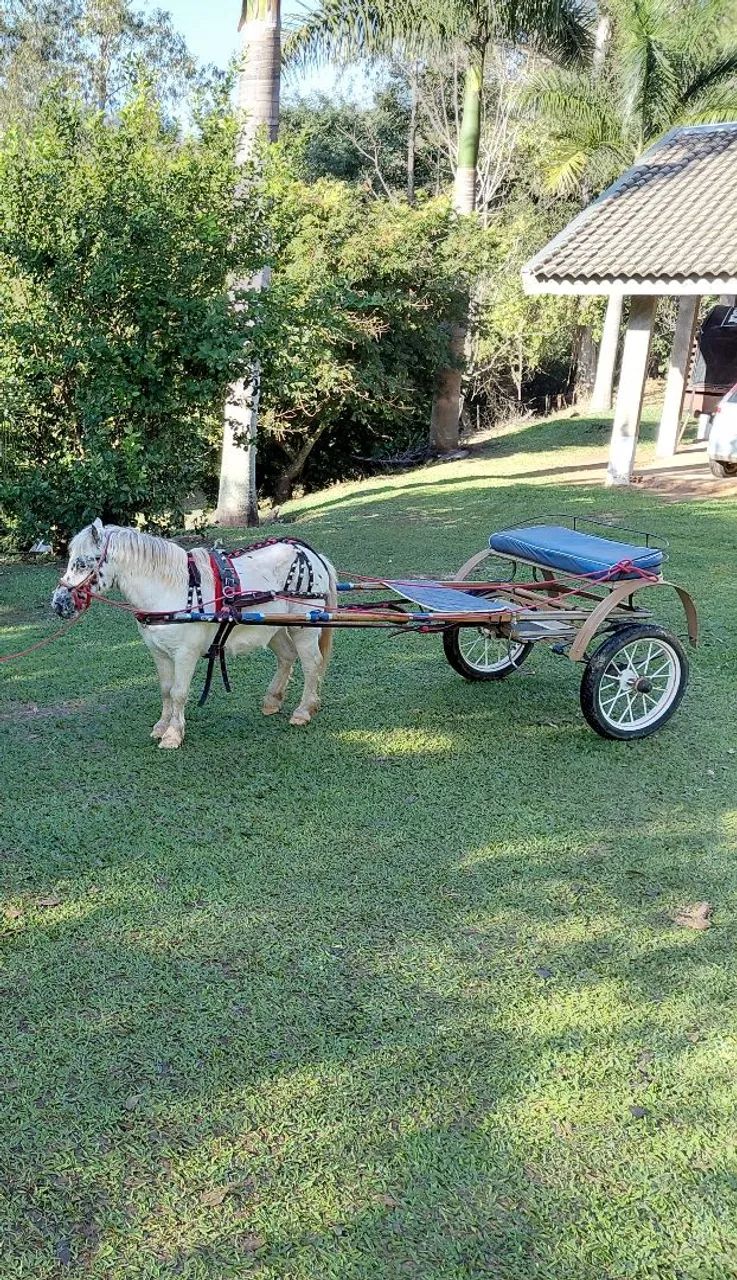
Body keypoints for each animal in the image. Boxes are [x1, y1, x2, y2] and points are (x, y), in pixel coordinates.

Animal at [52, 519, 337, 749]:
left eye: (81, 563)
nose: (58, 602)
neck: (170, 588)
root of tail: (313, 555)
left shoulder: (184, 653)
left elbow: (179, 692)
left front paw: (173, 734)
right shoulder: (159, 653)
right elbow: (166, 690)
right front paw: (161, 726)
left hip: (303, 626)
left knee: (312, 664)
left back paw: (304, 710)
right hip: (272, 626)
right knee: (287, 657)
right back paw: (272, 700)